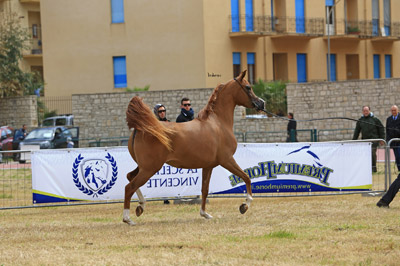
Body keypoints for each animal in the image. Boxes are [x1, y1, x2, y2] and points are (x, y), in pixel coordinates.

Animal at [123, 70, 264, 224]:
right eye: (248, 87)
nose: (261, 103)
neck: (218, 123)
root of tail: (140, 128)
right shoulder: (227, 160)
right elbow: (246, 177)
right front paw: (244, 205)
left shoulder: (208, 166)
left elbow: (205, 189)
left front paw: (205, 214)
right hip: (150, 168)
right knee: (130, 187)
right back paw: (128, 219)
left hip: (144, 166)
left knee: (130, 177)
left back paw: (140, 207)